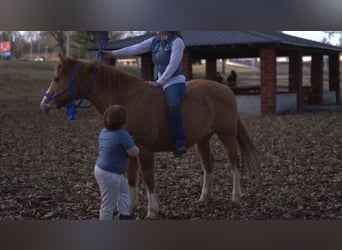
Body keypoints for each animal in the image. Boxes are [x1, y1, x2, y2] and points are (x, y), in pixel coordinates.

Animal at [40, 56, 260, 219]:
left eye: (57, 79)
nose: (44, 105)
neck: (128, 100)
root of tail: (226, 90)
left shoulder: (144, 151)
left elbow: (147, 179)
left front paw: (152, 211)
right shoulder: (128, 151)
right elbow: (130, 179)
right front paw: (129, 208)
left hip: (227, 135)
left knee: (234, 164)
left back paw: (236, 196)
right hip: (202, 139)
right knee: (208, 165)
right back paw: (204, 197)